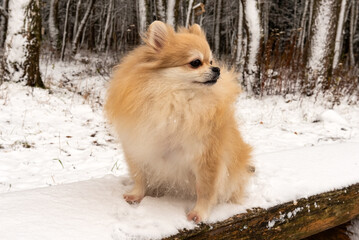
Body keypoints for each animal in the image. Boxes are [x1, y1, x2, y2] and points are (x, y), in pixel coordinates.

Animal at [105, 20, 253, 223]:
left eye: (211, 61)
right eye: (196, 63)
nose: (217, 69)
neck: (175, 99)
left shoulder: (207, 156)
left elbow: (205, 189)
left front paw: (199, 213)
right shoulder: (137, 147)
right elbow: (139, 176)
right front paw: (136, 195)